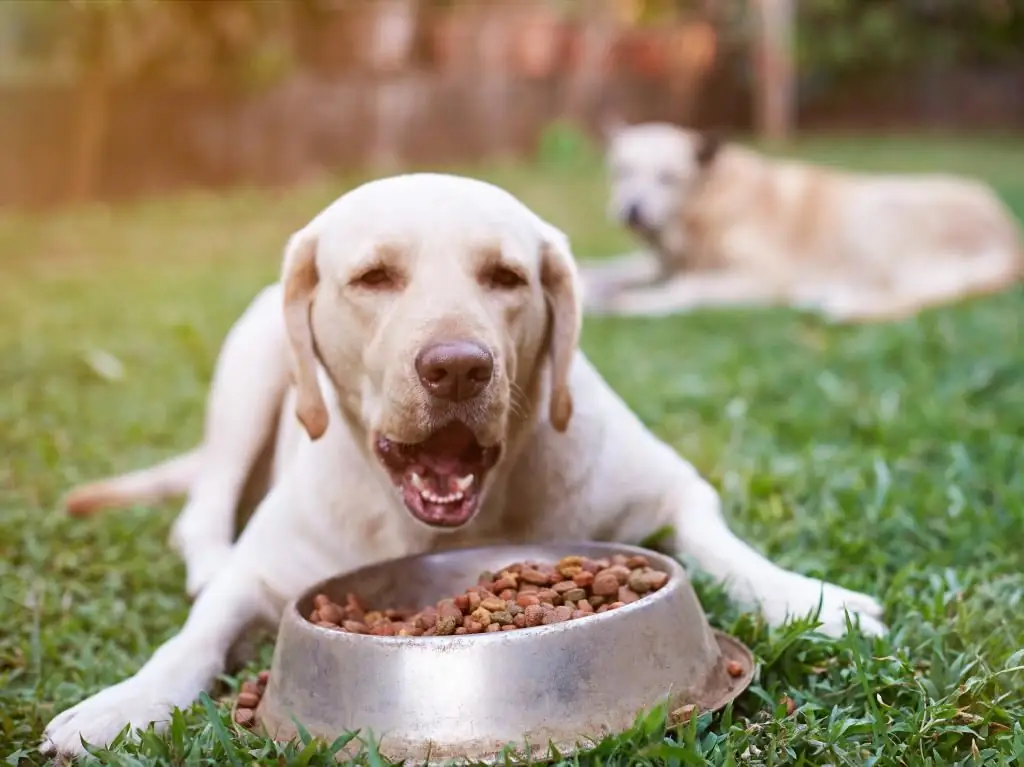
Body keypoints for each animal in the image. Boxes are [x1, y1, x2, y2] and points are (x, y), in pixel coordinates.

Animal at [44, 173, 884, 753]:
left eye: (505, 277)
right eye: (374, 277)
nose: (456, 368)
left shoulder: (671, 486)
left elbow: (726, 545)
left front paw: (810, 597)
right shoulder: (264, 570)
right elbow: (194, 636)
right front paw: (122, 702)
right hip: (249, 370)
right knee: (201, 514)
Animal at [581, 120, 1019, 323]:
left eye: (667, 178)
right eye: (621, 171)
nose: (631, 209)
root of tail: (1009, 231)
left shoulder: (764, 276)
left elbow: (686, 288)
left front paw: (628, 301)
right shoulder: (658, 261)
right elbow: (610, 268)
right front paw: (593, 281)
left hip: (875, 214)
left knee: (909, 293)